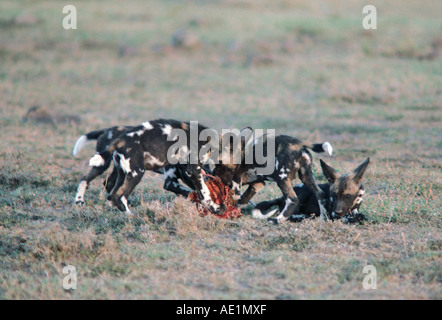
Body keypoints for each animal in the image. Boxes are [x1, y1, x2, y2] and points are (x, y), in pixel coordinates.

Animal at [71, 125, 210, 205]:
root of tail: (107, 130)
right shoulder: (171, 182)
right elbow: (191, 192)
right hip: (103, 165)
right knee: (85, 179)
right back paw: (79, 200)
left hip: (119, 169)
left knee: (109, 183)